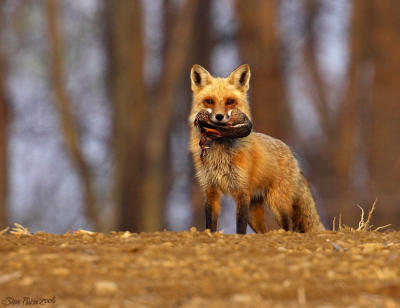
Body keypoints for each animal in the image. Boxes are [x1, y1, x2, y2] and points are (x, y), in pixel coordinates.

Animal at [189, 64, 324, 233]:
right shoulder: (210, 190)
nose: (219, 117)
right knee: (263, 231)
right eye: (209, 101)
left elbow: (240, 228)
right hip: (254, 215)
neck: (220, 151)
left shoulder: (242, 192)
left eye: (230, 101)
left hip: (277, 203)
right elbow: (210, 225)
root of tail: (290, 151)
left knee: (288, 226)